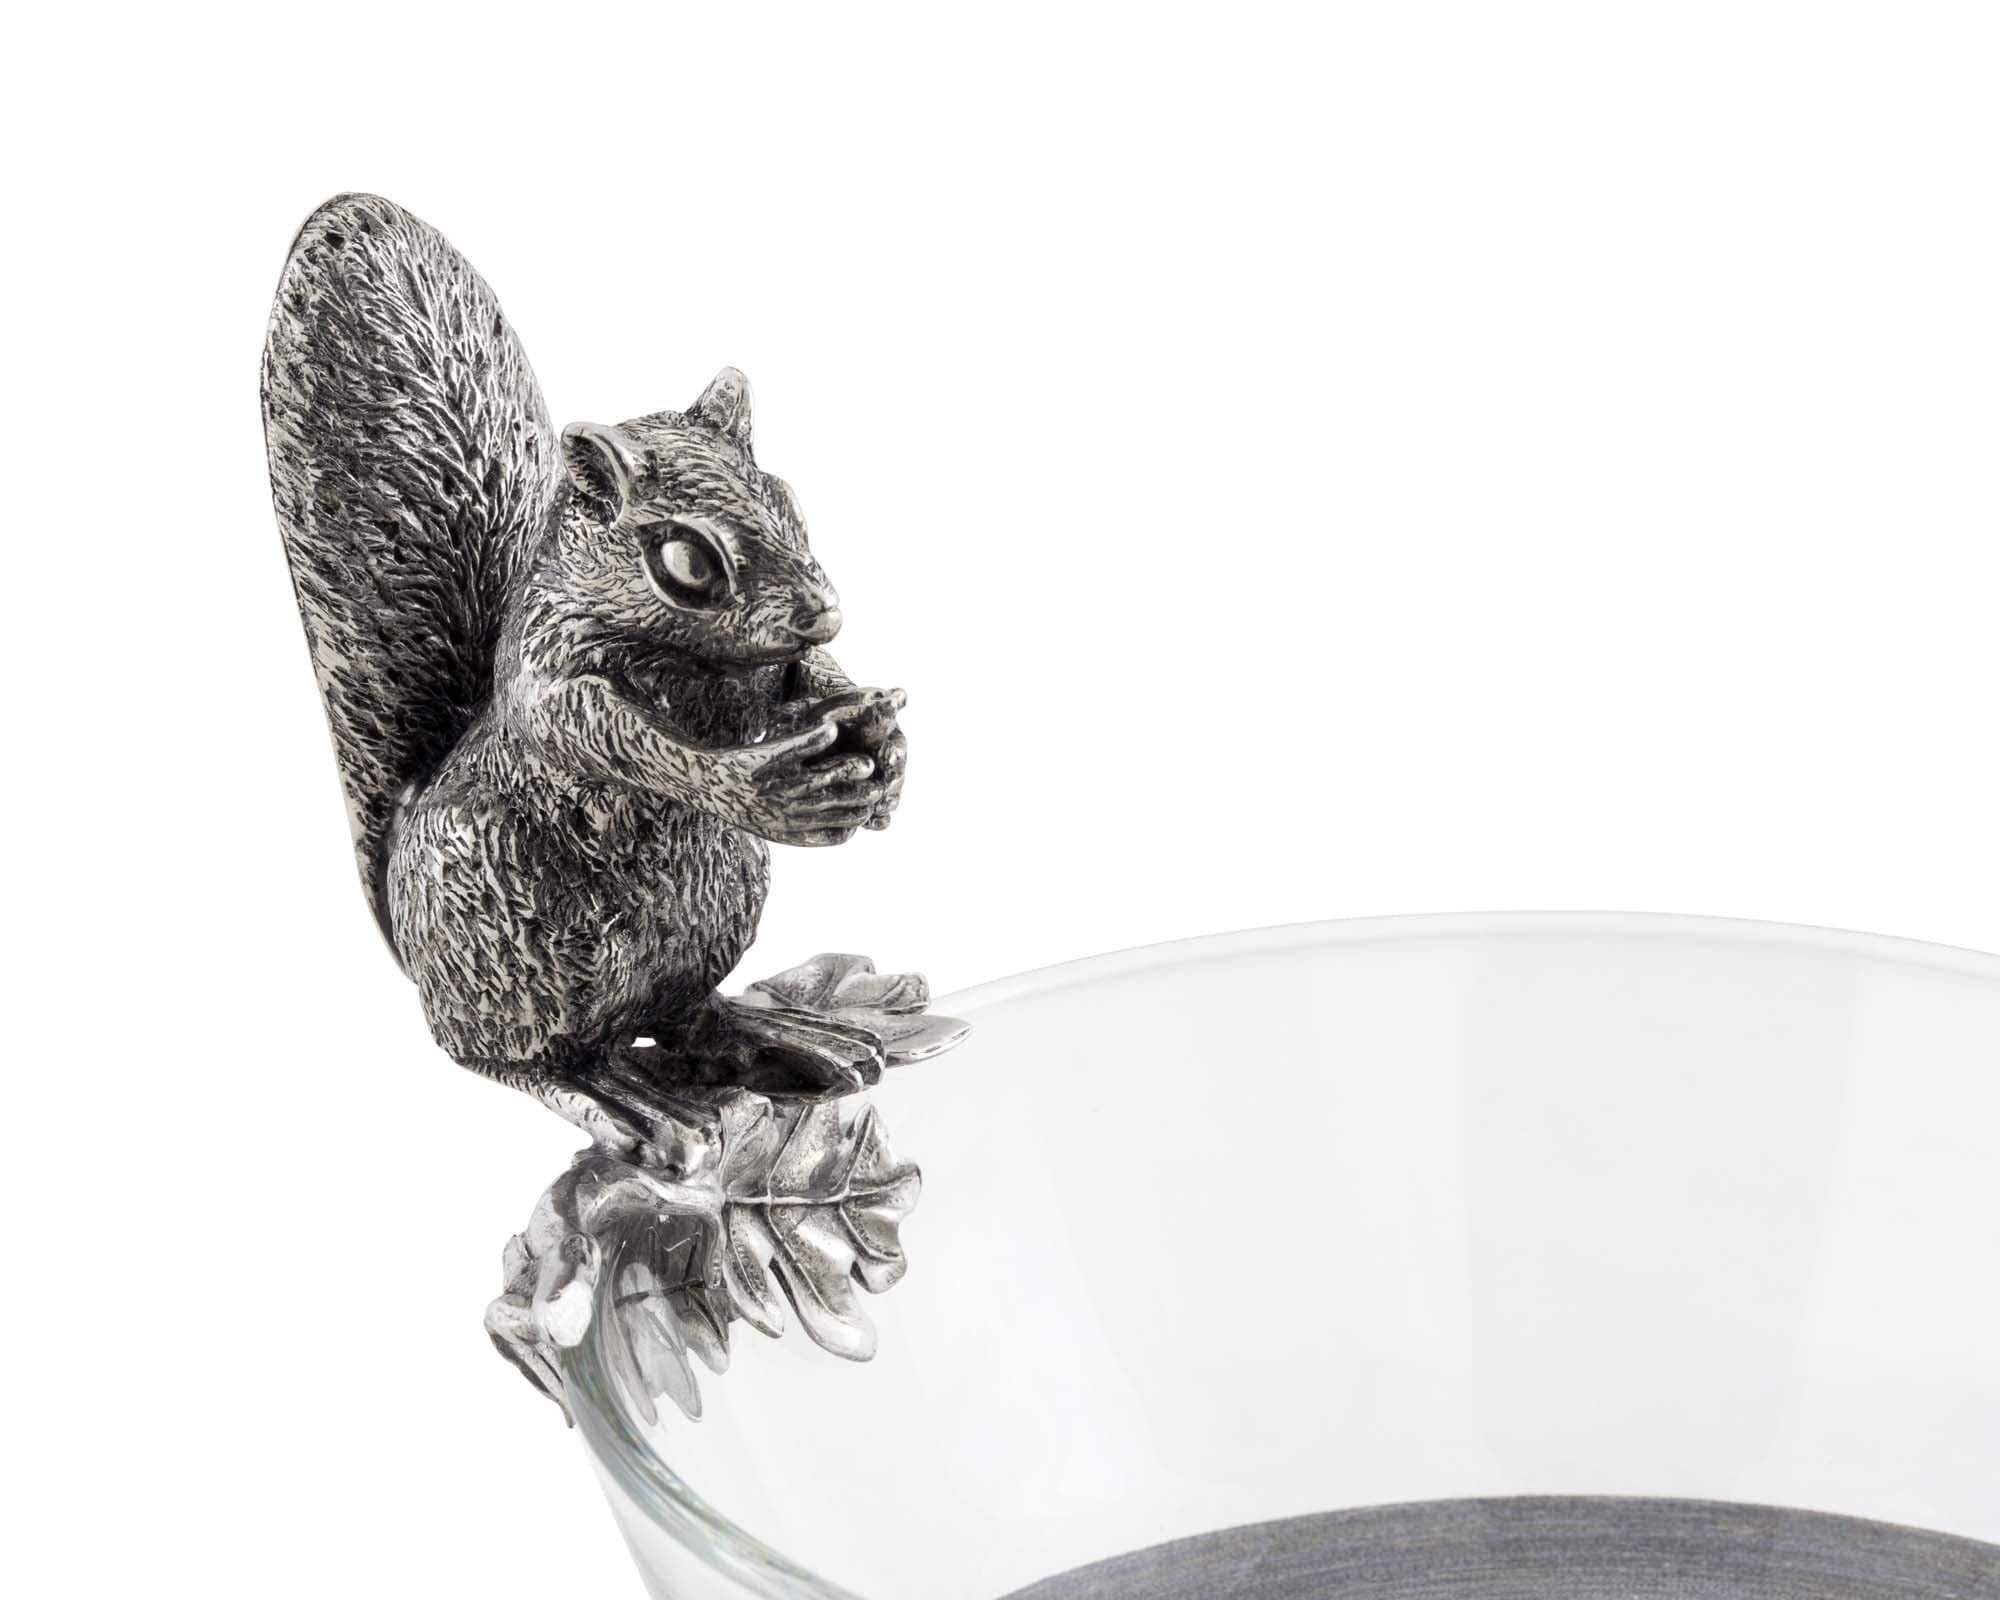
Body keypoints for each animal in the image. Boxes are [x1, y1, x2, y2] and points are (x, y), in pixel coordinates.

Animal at [262, 194, 913, 1143]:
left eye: (788, 499)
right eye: (686, 559)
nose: (825, 610)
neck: (699, 660)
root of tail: (419, 958)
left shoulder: (775, 668)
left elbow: (811, 676)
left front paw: (889, 745)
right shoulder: (551, 670)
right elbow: (601, 730)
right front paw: (753, 785)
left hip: (717, 912)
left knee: (686, 1018)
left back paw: (785, 1037)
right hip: (508, 933)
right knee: (521, 1060)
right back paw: (626, 1106)